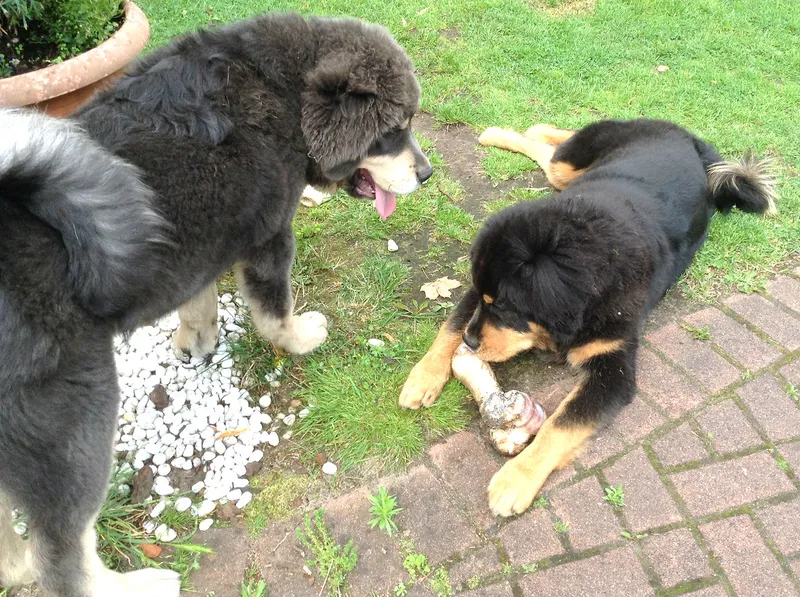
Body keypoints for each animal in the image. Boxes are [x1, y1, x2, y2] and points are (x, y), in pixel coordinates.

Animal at [0, 12, 430, 597]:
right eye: (393, 129)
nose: (427, 173)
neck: (284, 92)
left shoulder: (200, 247)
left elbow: (196, 302)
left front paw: (196, 342)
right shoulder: (269, 235)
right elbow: (273, 312)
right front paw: (299, 338)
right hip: (75, 427)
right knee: (62, 560)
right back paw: (137, 584)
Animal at [399, 118, 776, 517]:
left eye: (503, 307)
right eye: (492, 303)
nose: (472, 343)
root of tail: (685, 135)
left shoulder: (613, 367)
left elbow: (561, 424)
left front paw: (515, 479)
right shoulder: (476, 289)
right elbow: (451, 324)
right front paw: (423, 377)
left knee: (550, 152)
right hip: (569, 166)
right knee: (552, 147)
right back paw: (508, 132)